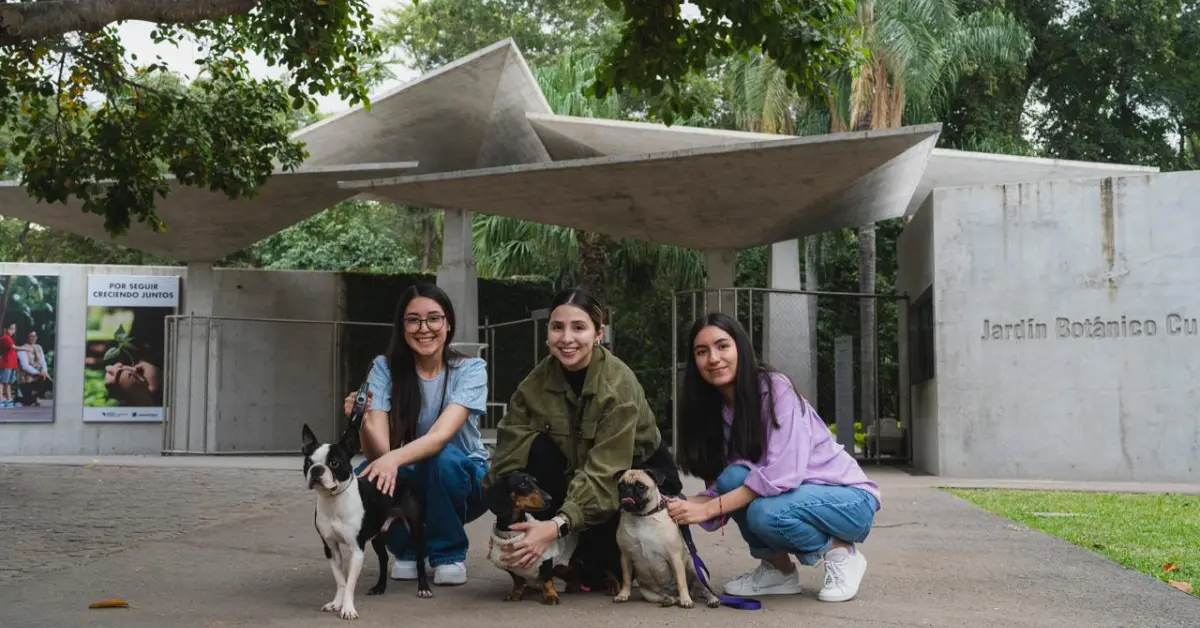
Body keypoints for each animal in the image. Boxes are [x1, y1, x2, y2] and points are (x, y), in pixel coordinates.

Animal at [300, 422, 432, 619]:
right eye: (308, 462)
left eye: (334, 463)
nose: (316, 469)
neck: (333, 501)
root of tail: (400, 475)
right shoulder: (330, 548)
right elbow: (341, 580)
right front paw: (336, 603)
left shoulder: (357, 549)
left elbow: (350, 584)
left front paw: (348, 609)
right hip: (377, 535)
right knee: (383, 558)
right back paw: (379, 587)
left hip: (415, 529)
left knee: (419, 558)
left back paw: (424, 588)